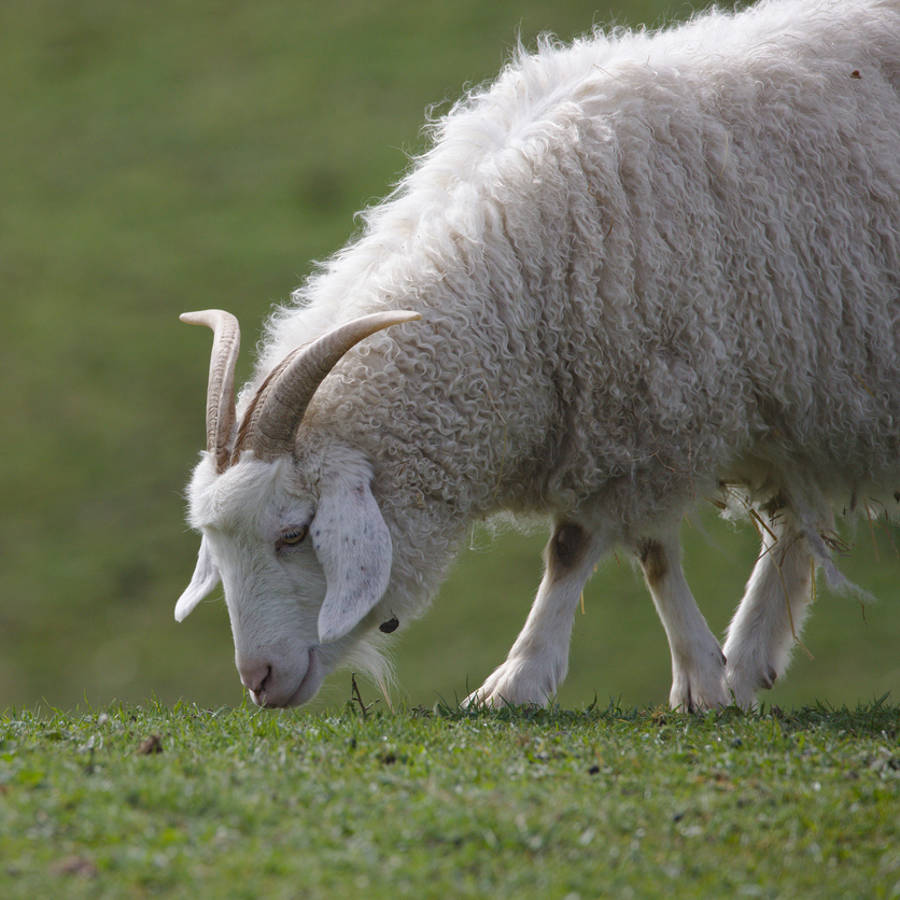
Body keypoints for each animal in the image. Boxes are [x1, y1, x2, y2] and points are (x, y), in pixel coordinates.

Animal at [178, 0, 900, 712]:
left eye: (293, 534)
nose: (258, 679)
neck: (523, 281)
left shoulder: (648, 415)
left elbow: (608, 550)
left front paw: (557, 679)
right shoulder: (635, 419)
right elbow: (634, 546)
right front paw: (703, 675)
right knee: (795, 520)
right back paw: (753, 660)